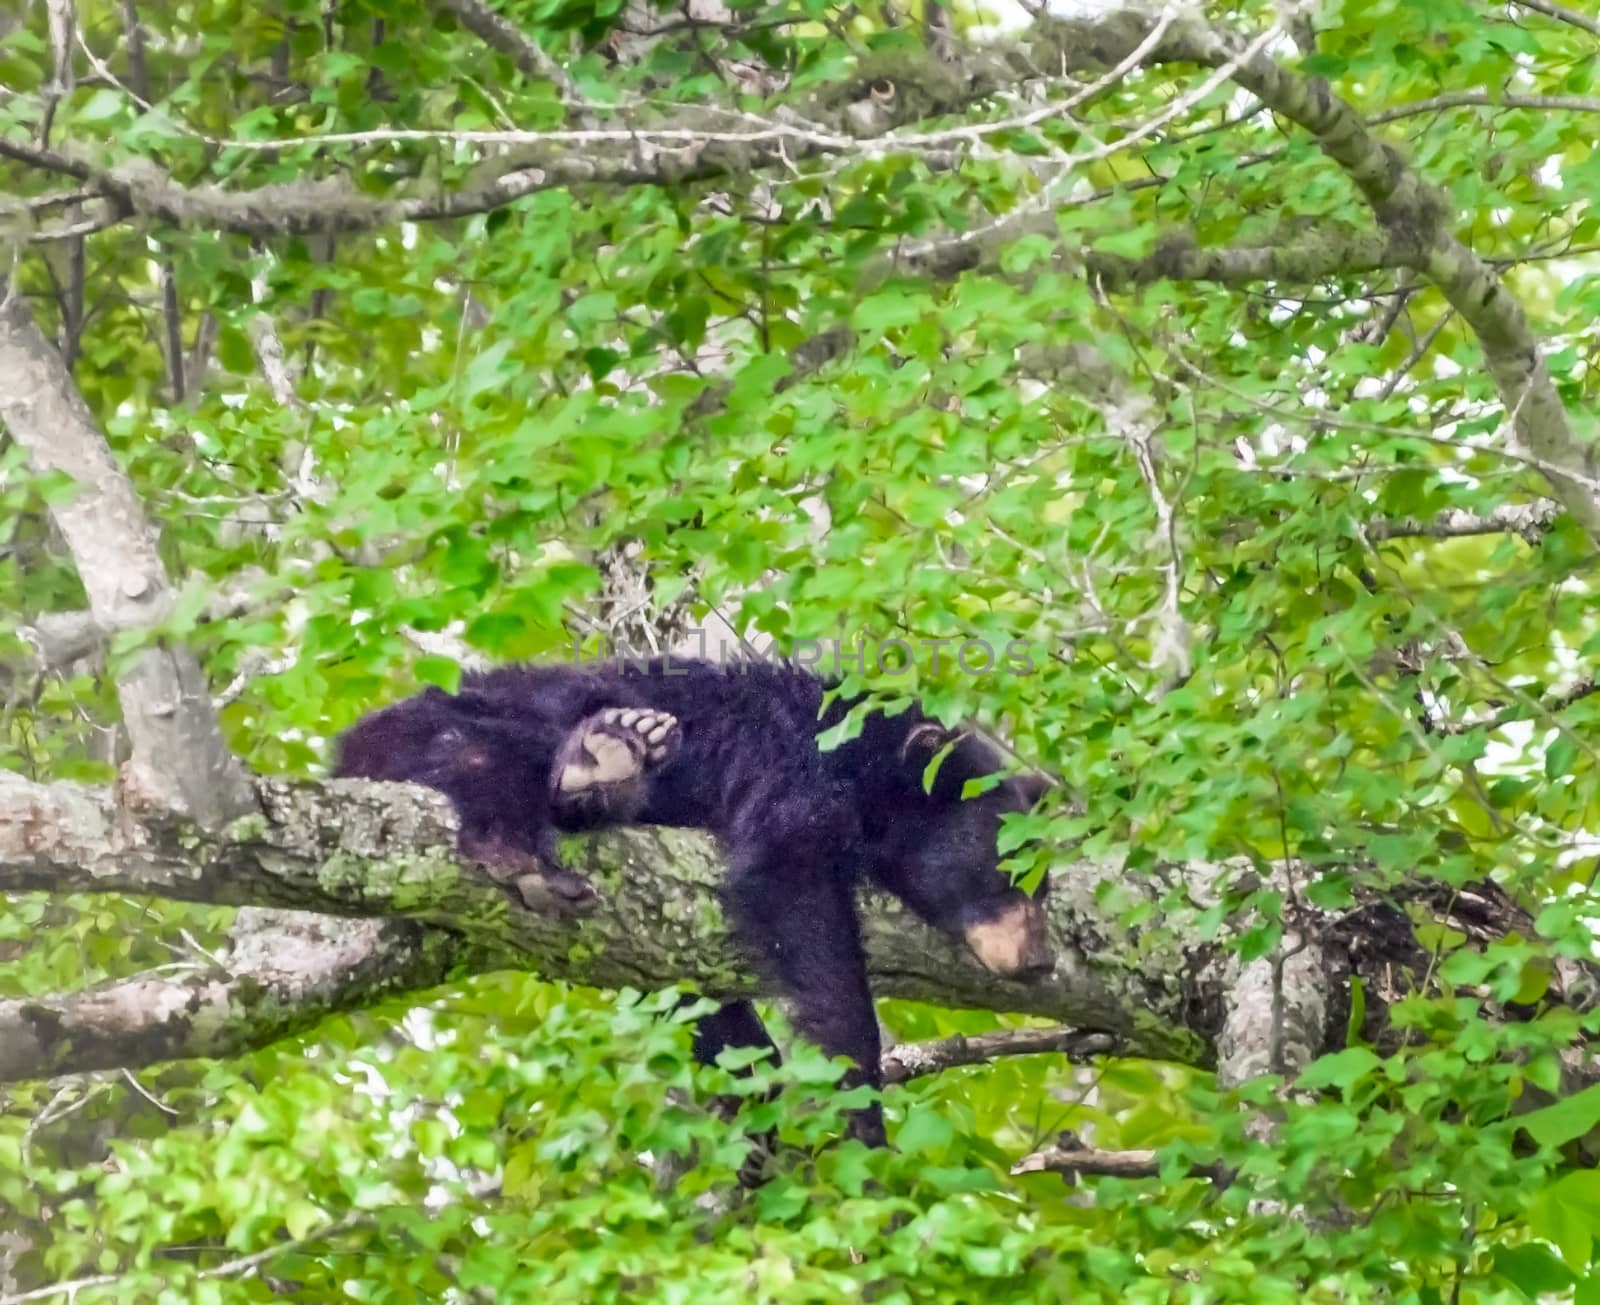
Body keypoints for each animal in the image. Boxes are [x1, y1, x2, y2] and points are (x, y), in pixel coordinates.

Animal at [332, 652, 1056, 1138]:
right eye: (1007, 866)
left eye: (1044, 886)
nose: (1041, 960)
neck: (862, 759)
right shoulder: (780, 763)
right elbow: (791, 881)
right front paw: (858, 1105)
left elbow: (688, 983)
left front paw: (748, 1077)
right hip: (448, 726)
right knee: (491, 749)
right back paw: (567, 792)